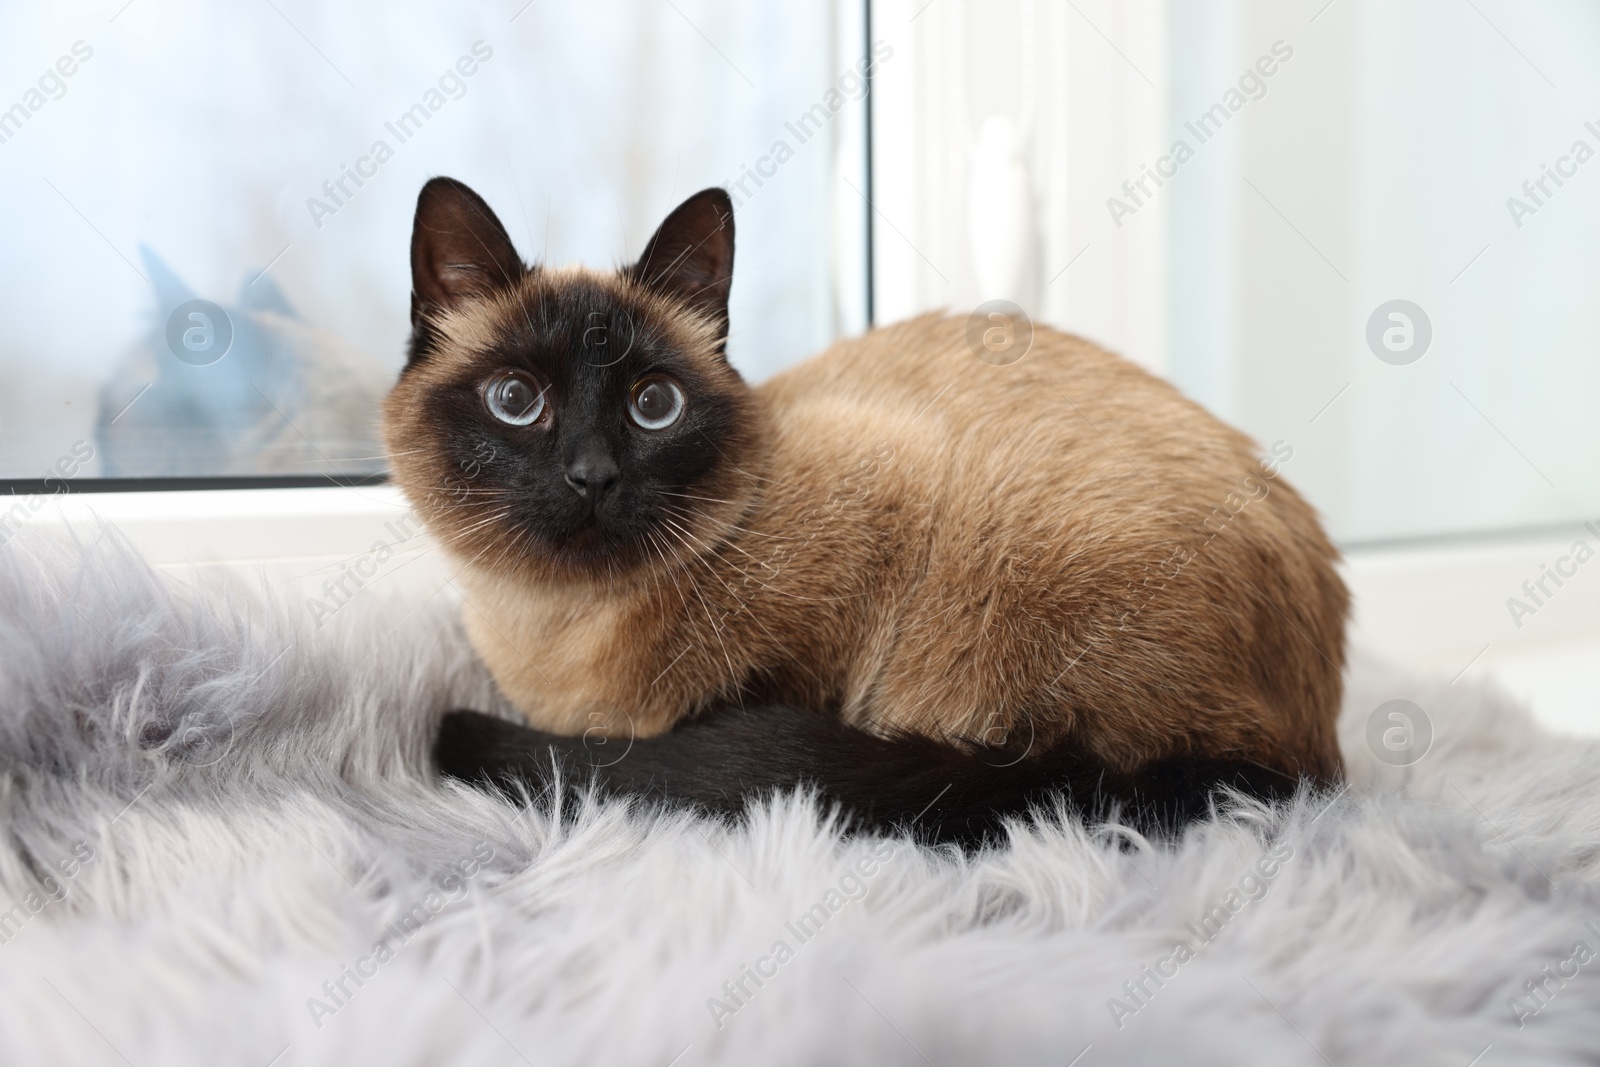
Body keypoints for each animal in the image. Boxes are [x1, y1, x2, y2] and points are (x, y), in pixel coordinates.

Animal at [390, 175, 1350, 844]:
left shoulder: (875, 501)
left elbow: (759, 713)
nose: (592, 476)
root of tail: (1314, 750)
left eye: (653, 405)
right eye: (517, 400)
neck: (558, 635)